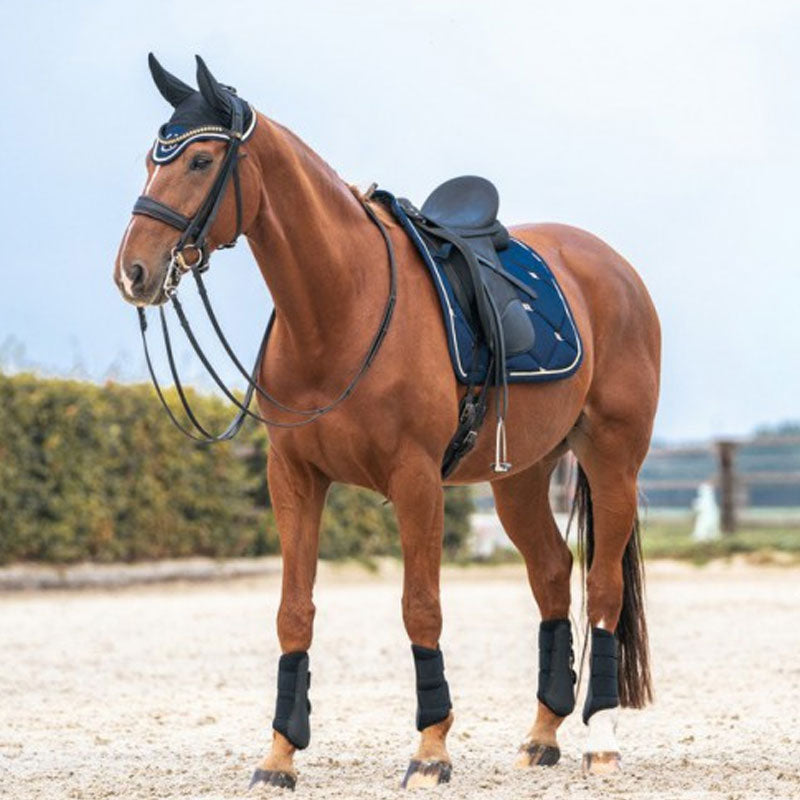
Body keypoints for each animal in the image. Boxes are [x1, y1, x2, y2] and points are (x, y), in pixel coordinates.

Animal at [113, 55, 660, 790]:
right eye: (152, 159)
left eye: (200, 160)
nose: (134, 271)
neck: (341, 306)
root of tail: (612, 268)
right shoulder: (294, 477)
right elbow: (294, 612)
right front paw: (279, 756)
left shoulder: (416, 480)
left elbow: (420, 606)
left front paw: (431, 749)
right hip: (520, 476)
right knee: (550, 574)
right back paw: (542, 735)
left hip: (612, 460)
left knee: (601, 587)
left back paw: (599, 739)